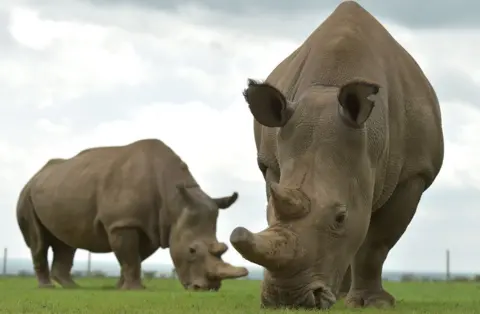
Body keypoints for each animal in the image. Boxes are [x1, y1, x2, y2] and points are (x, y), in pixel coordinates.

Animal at [15, 139, 248, 290]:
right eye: (191, 250)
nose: (208, 288)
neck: (175, 201)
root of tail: (36, 175)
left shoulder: (153, 226)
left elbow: (134, 257)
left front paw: (121, 287)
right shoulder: (123, 223)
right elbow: (129, 257)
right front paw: (134, 289)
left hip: (61, 186)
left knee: (66, 243)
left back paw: (73, 287)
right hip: (26, 195)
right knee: (38, 242)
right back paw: (47, 287)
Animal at [229, 0, 442, 310]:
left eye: (340, 217)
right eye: (268, 214)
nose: (287, 299)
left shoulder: (415, 173)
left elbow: (375, 243)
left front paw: (374, 304)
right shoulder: (272, 165)